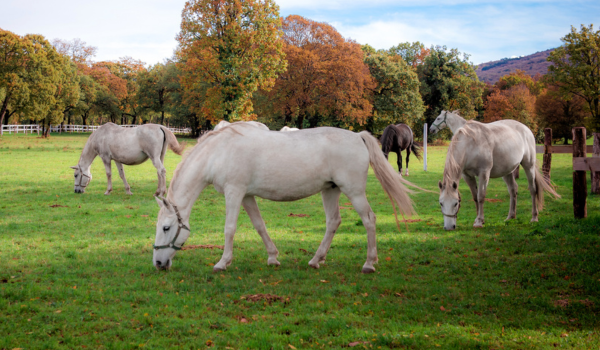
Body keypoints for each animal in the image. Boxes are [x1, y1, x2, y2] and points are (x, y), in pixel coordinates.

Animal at [152, 123, 418, 274]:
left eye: (166, 227)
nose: (158, 263)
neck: (219, 152)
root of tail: (358, 136)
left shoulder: (234, 192)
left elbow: (229, 228)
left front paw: (222, 262)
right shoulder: (247, 196)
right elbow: (259, 226)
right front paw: (273, 257)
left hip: (353, 192)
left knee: (369, 220)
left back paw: (369, 263)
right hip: (330, 190)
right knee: (333, 222)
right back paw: (316, 260)